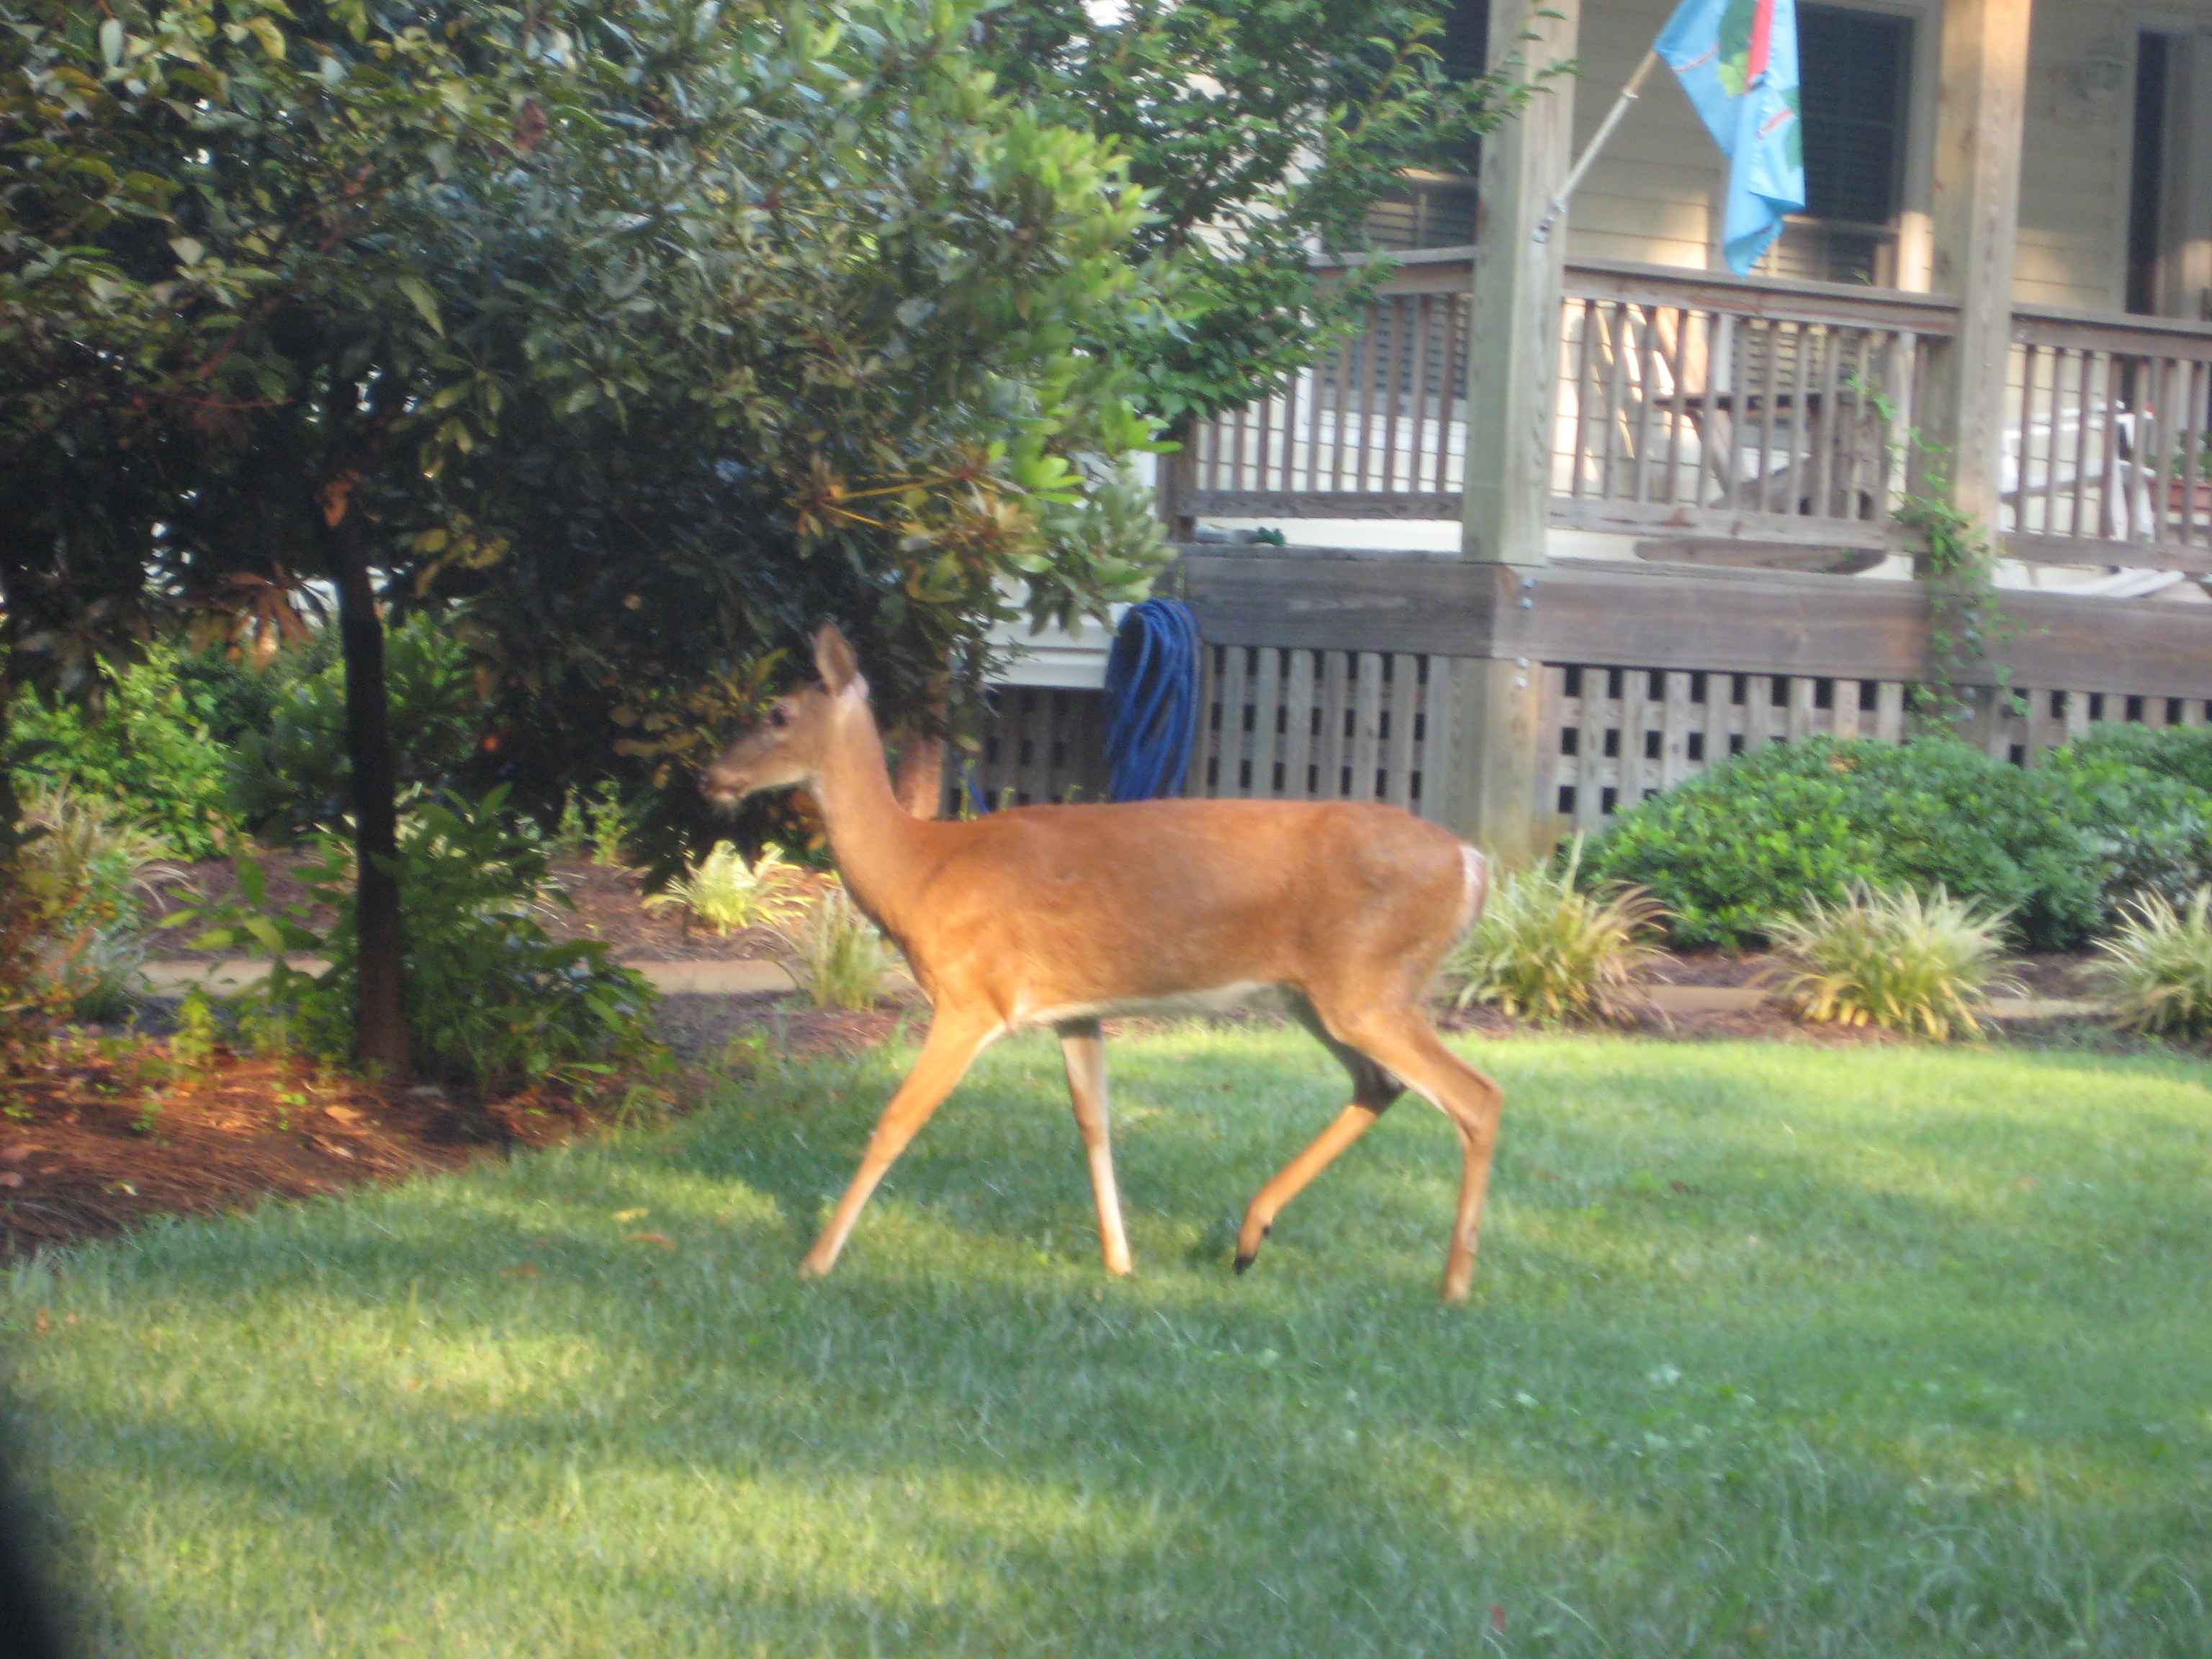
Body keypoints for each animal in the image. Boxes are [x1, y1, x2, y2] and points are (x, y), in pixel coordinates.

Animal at [703, 625, 1506, 1301]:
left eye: (777, 712)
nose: (711, 777)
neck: (920, 870)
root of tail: (1473, 865)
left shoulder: (971, 995)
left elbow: (897, 1120)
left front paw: (815, 1260)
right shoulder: (1075, 1010)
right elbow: (1095, 1122)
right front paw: (1119, 1263)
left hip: (1368, 982)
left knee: (1477, 1095)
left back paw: (1455, 1286)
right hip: (1320, 993)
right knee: (1382, 1084)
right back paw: (1250, 1239)